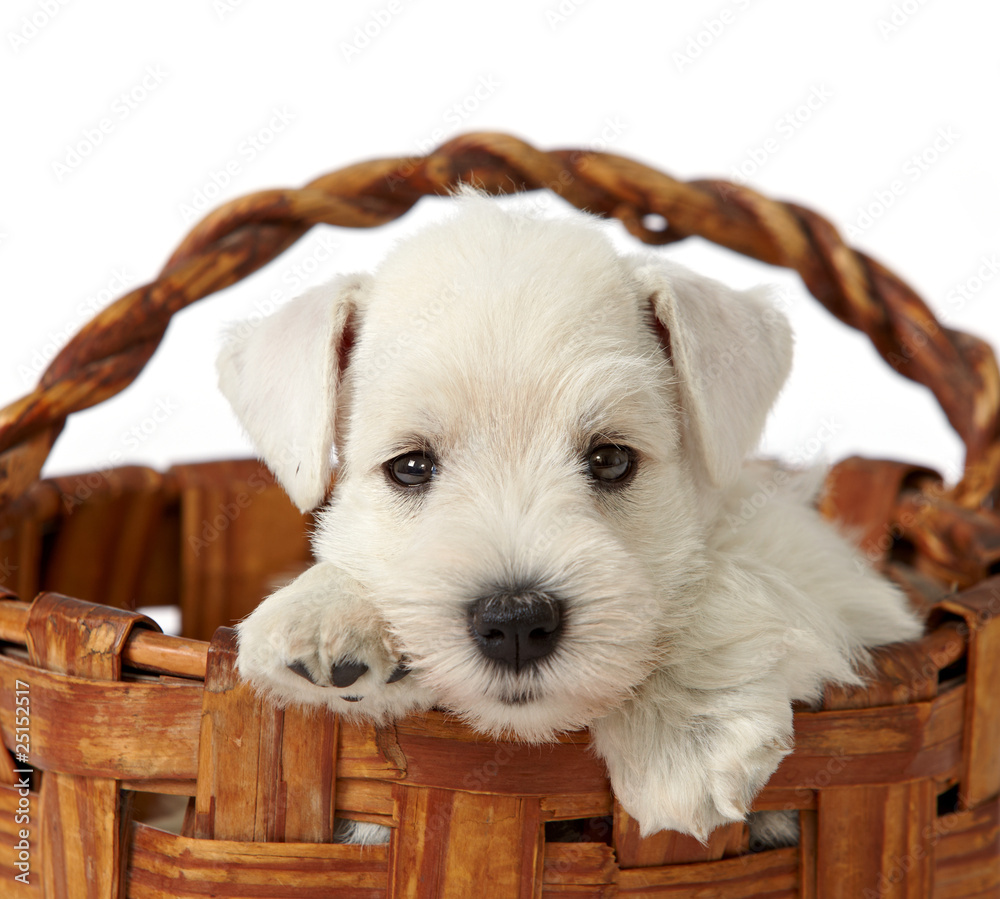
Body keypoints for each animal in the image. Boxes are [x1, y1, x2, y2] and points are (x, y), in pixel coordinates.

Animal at [219, 197, 920, 844]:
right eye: (411, 466)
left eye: (610, 459)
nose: (515, 621)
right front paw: (327, 614)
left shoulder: (820, 563)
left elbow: (728, 578)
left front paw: (686, 737)